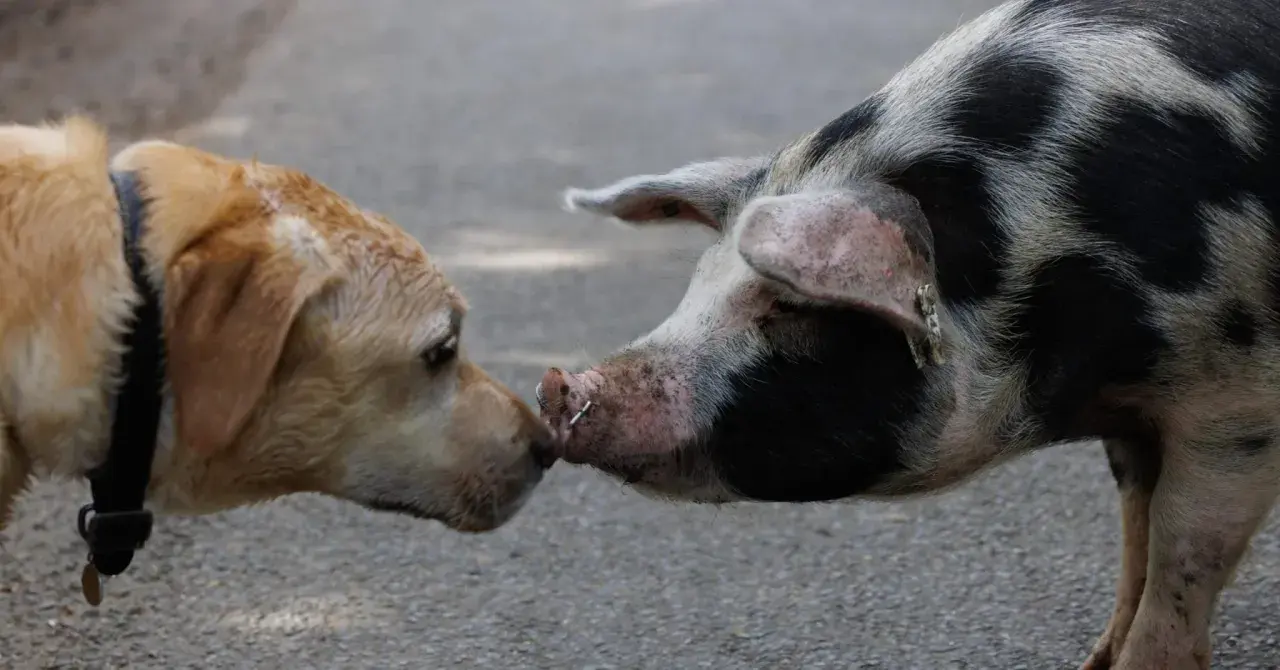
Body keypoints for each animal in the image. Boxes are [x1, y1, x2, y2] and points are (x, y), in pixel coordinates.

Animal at [538, 0, 1280, 668]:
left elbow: (1180, 557)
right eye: (699, 276)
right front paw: (1095, 659)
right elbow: (1136, 534)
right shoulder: (1136, 415)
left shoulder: (1235, 410)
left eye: (790, 305)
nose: (558, 384)